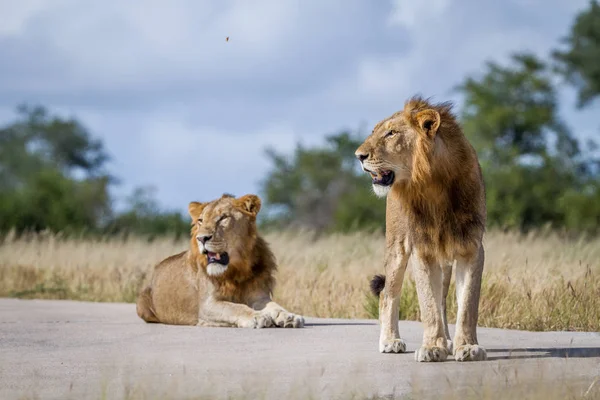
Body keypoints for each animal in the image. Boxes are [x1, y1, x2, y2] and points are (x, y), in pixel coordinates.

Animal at [137, 193, 304, 328]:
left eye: (223, 218)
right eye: (201, 220)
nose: (201, 238)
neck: (237, 269)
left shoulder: (258, 295)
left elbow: (274, 306)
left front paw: (289, 316)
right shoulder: (207, 305)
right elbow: (235, 307)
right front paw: (257, 316)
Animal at [356, 97, 488, 362]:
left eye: (391, 133)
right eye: (374, 132)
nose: (359, 156)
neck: (433, 184)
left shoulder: (471, 247)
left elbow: (467, 304)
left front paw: (467, 347)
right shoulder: (422, 249)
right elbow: (428, 303)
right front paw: (432, 347)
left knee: (444, 299)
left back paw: (448, 340)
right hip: (397, 247)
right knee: (388, 293)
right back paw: (390, 341)